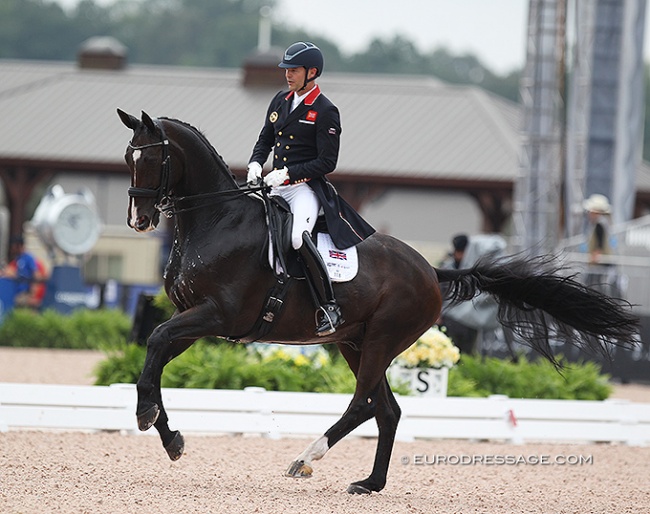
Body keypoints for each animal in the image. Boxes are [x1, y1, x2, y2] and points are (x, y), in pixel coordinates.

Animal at [117, 108, 636, 492]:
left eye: (153, 159)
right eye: (128, 157)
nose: (139, 220)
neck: (215, 221)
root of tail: (430, 270)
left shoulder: (217, 315)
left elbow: (156, 341)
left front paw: (145, 416)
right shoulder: (193, 316)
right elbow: (155, 357)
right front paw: (169, 435)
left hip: (383, 338)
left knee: (364, 404)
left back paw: (306, 458)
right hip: (356, 341)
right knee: (387, 410)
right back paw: (370, 483)